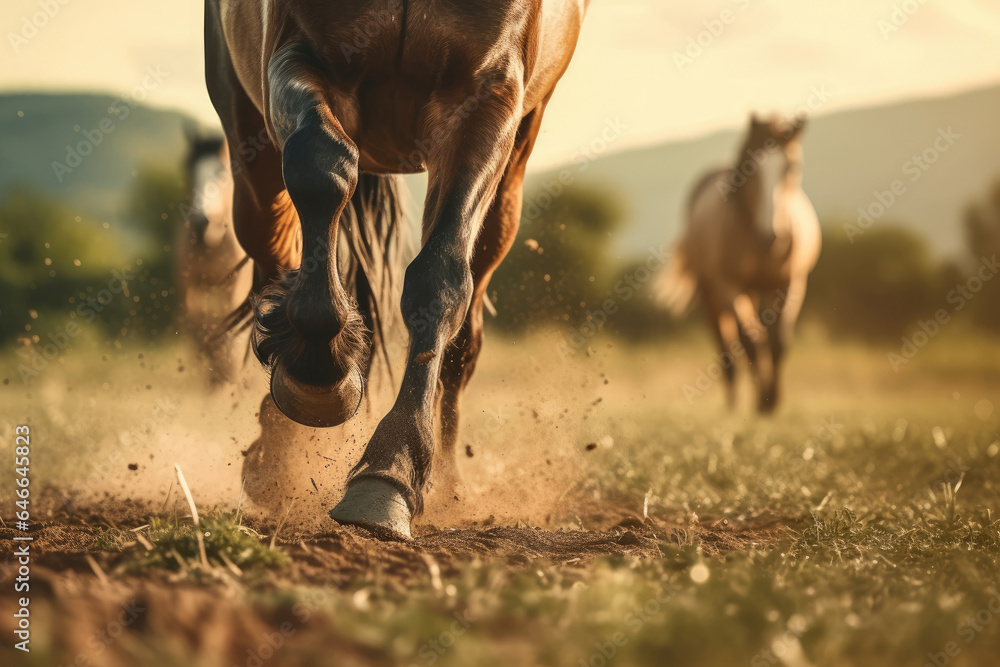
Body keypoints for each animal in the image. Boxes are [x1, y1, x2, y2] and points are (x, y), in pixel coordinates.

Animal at [175, 132, 254, 383]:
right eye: (187, 169)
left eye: (222, 173)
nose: (202, 226)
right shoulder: (189, 288)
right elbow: (200, 331)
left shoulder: (236, 289)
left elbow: (232, 337)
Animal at [204, 0, 588, 539]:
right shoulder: (298, 55)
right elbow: (322, 164)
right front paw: (319, 375)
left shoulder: (484, 96)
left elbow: (440, 281)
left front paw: (391, 472)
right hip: (248, 143)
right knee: (276, 253)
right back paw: (278, 453)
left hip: (512, 172)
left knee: (467, 332)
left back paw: (448, 482)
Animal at [660, 114, 821, 413]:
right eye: (752, 169)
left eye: (793, 167)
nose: (772, 236)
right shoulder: (730, 287)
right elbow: (750, 342)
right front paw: (763, 402)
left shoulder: (791, 283)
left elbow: (778, 340)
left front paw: (772, 402)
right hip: (713, 295)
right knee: (728, 347)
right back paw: (733, 405)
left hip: (754, 291)